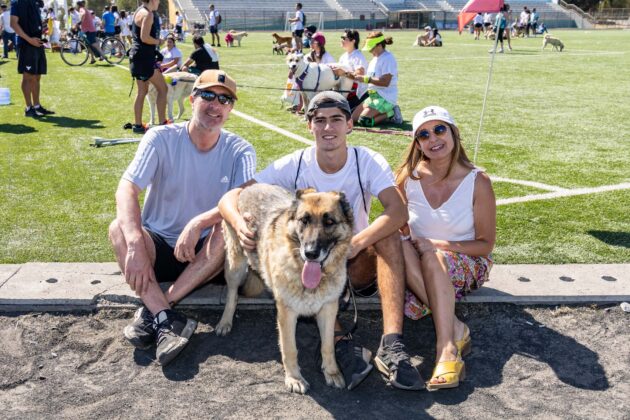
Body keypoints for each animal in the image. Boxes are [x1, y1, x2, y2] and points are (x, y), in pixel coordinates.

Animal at [217, 184, 354, 394]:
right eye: (304, 220)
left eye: (329, 221)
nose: (310, 253)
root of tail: (248, 187)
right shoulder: (287, 313)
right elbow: (290, 348)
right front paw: (294, 378)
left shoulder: (328, 309)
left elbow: (328, 345)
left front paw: (331, 372)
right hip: (236, 267)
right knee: (232, 295)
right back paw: (225, 322)